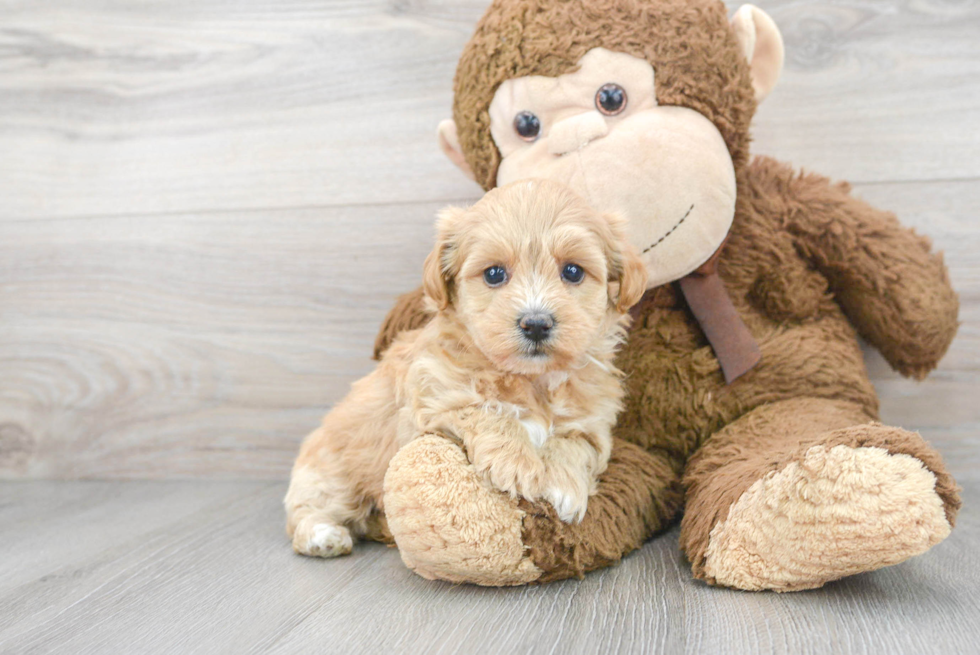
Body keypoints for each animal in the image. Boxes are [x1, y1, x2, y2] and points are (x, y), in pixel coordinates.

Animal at [288, 179, 648, 560]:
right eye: (494, 274)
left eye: (573, 271)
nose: (536, 323)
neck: (532, 380)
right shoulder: (434, 395)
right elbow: (486, 410)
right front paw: (518, 465)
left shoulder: (592, 425)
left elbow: (574, 443)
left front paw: (562, 485)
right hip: (330, 475)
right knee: (308, 510)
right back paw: (323, 536)